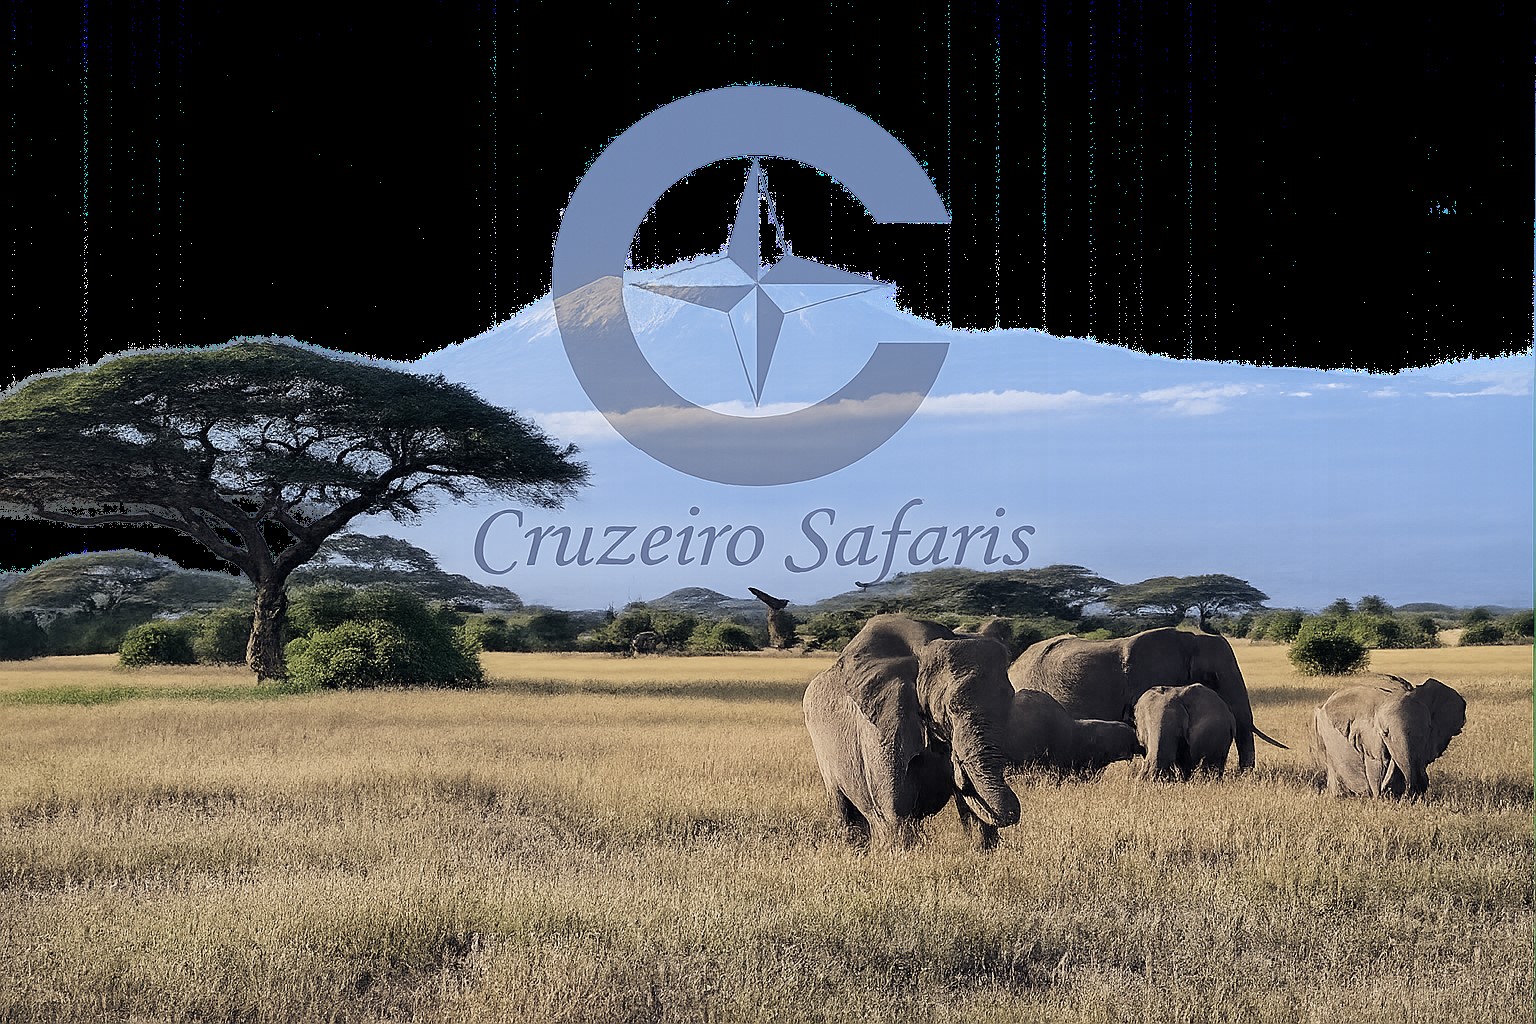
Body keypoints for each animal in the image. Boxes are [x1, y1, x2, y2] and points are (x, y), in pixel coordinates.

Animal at [802, 614, 1022, 850]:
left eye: (1009, 703)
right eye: (950, 708)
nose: (958, 766)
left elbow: (973, 814)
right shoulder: (881, 726)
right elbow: (895, 805)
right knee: (844, 808)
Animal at [1310, 674, 1466, 799]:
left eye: (1426, 732)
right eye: (1386, 733)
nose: (1412, 792)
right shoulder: (1369, 737)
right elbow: (1377, 765)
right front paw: (1380, 799)